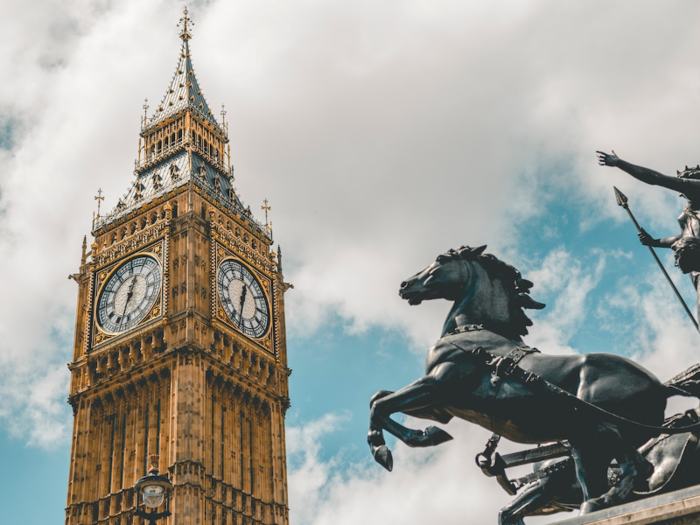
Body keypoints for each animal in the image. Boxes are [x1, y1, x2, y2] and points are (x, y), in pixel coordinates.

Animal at [372, 245, 684, 512]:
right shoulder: (440, 406)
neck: (473, 336)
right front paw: (426, 434)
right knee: (598, 477)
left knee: (639, 467)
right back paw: (594, 504)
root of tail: (661, 387)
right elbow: (381, 398)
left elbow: (379, 405)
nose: (404, 286)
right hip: (585, 443)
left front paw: (386, 450)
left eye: (440, 259)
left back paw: (602, 501)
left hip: (601, 426)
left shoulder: (438, 384)